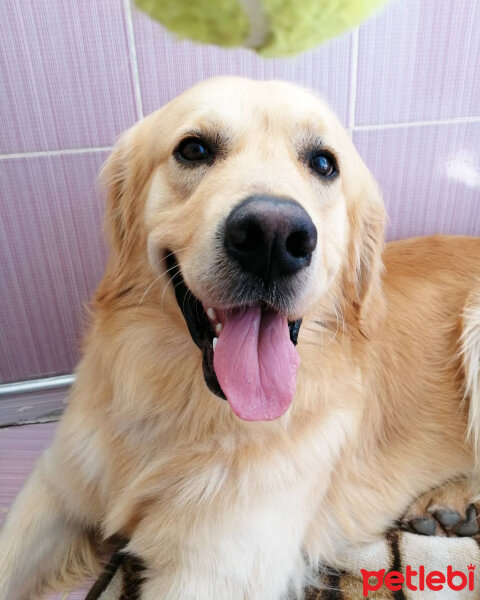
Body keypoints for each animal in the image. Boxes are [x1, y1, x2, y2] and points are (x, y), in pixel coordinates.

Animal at [0, 77, 480, 596]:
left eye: (324, 163)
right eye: (193, 149)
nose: (273, 237)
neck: (181, 407)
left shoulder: (211, 572)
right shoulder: (54, 491)